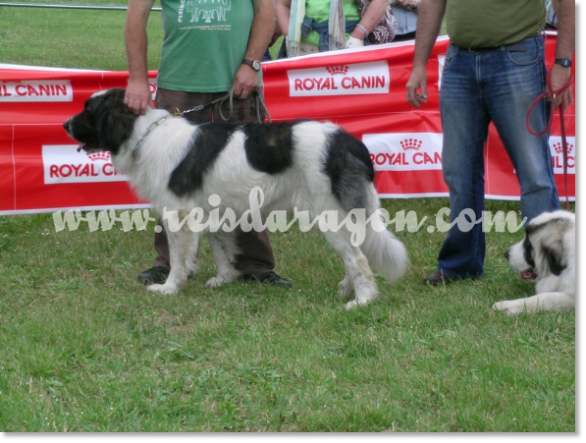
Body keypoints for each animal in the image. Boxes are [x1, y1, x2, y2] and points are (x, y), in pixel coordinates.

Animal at [62, 89, 406, 310]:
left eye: (88, 112)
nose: (64, 124)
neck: (145, 133)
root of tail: (347, 141)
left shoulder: (179, 215)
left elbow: (178, 258)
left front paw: (170, 288)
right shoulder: (212, 212)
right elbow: (222, 250)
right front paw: (224, 279)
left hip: (329, 213)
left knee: (357, 258)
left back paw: (362, 299)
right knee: (355, 252)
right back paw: (347, 289)